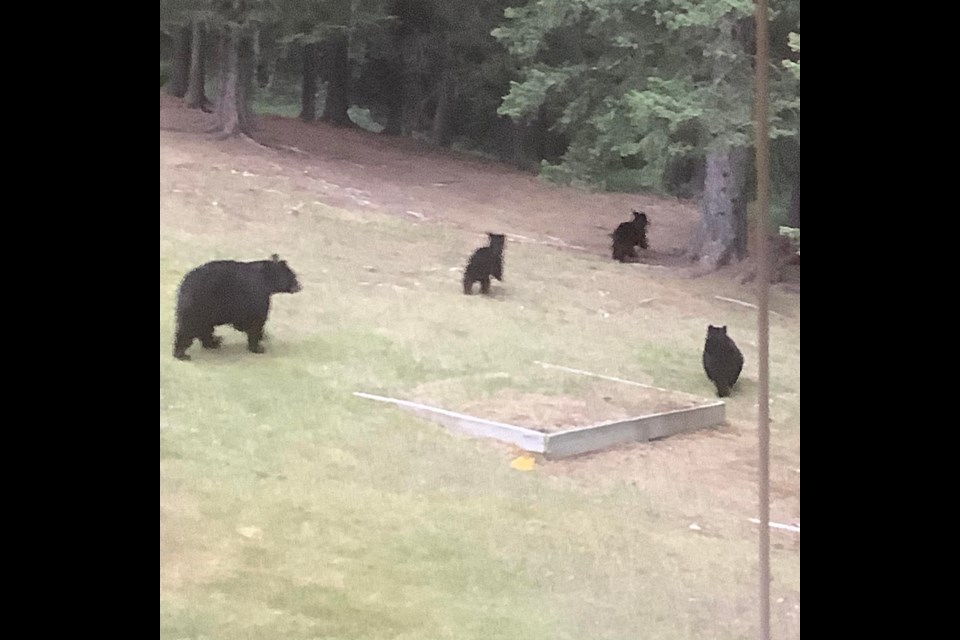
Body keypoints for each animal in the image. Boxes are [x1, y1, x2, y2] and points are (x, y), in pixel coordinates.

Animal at [174, 254, 302, 360]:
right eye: (293, 276)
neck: (266, 280)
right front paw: (258, 346)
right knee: (188, 329)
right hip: (198, 307)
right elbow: (256, 321)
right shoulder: (255, 296)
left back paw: (214, 342)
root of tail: (183, 288)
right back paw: (181, 354)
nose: (300, 286)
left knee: (205, 329)